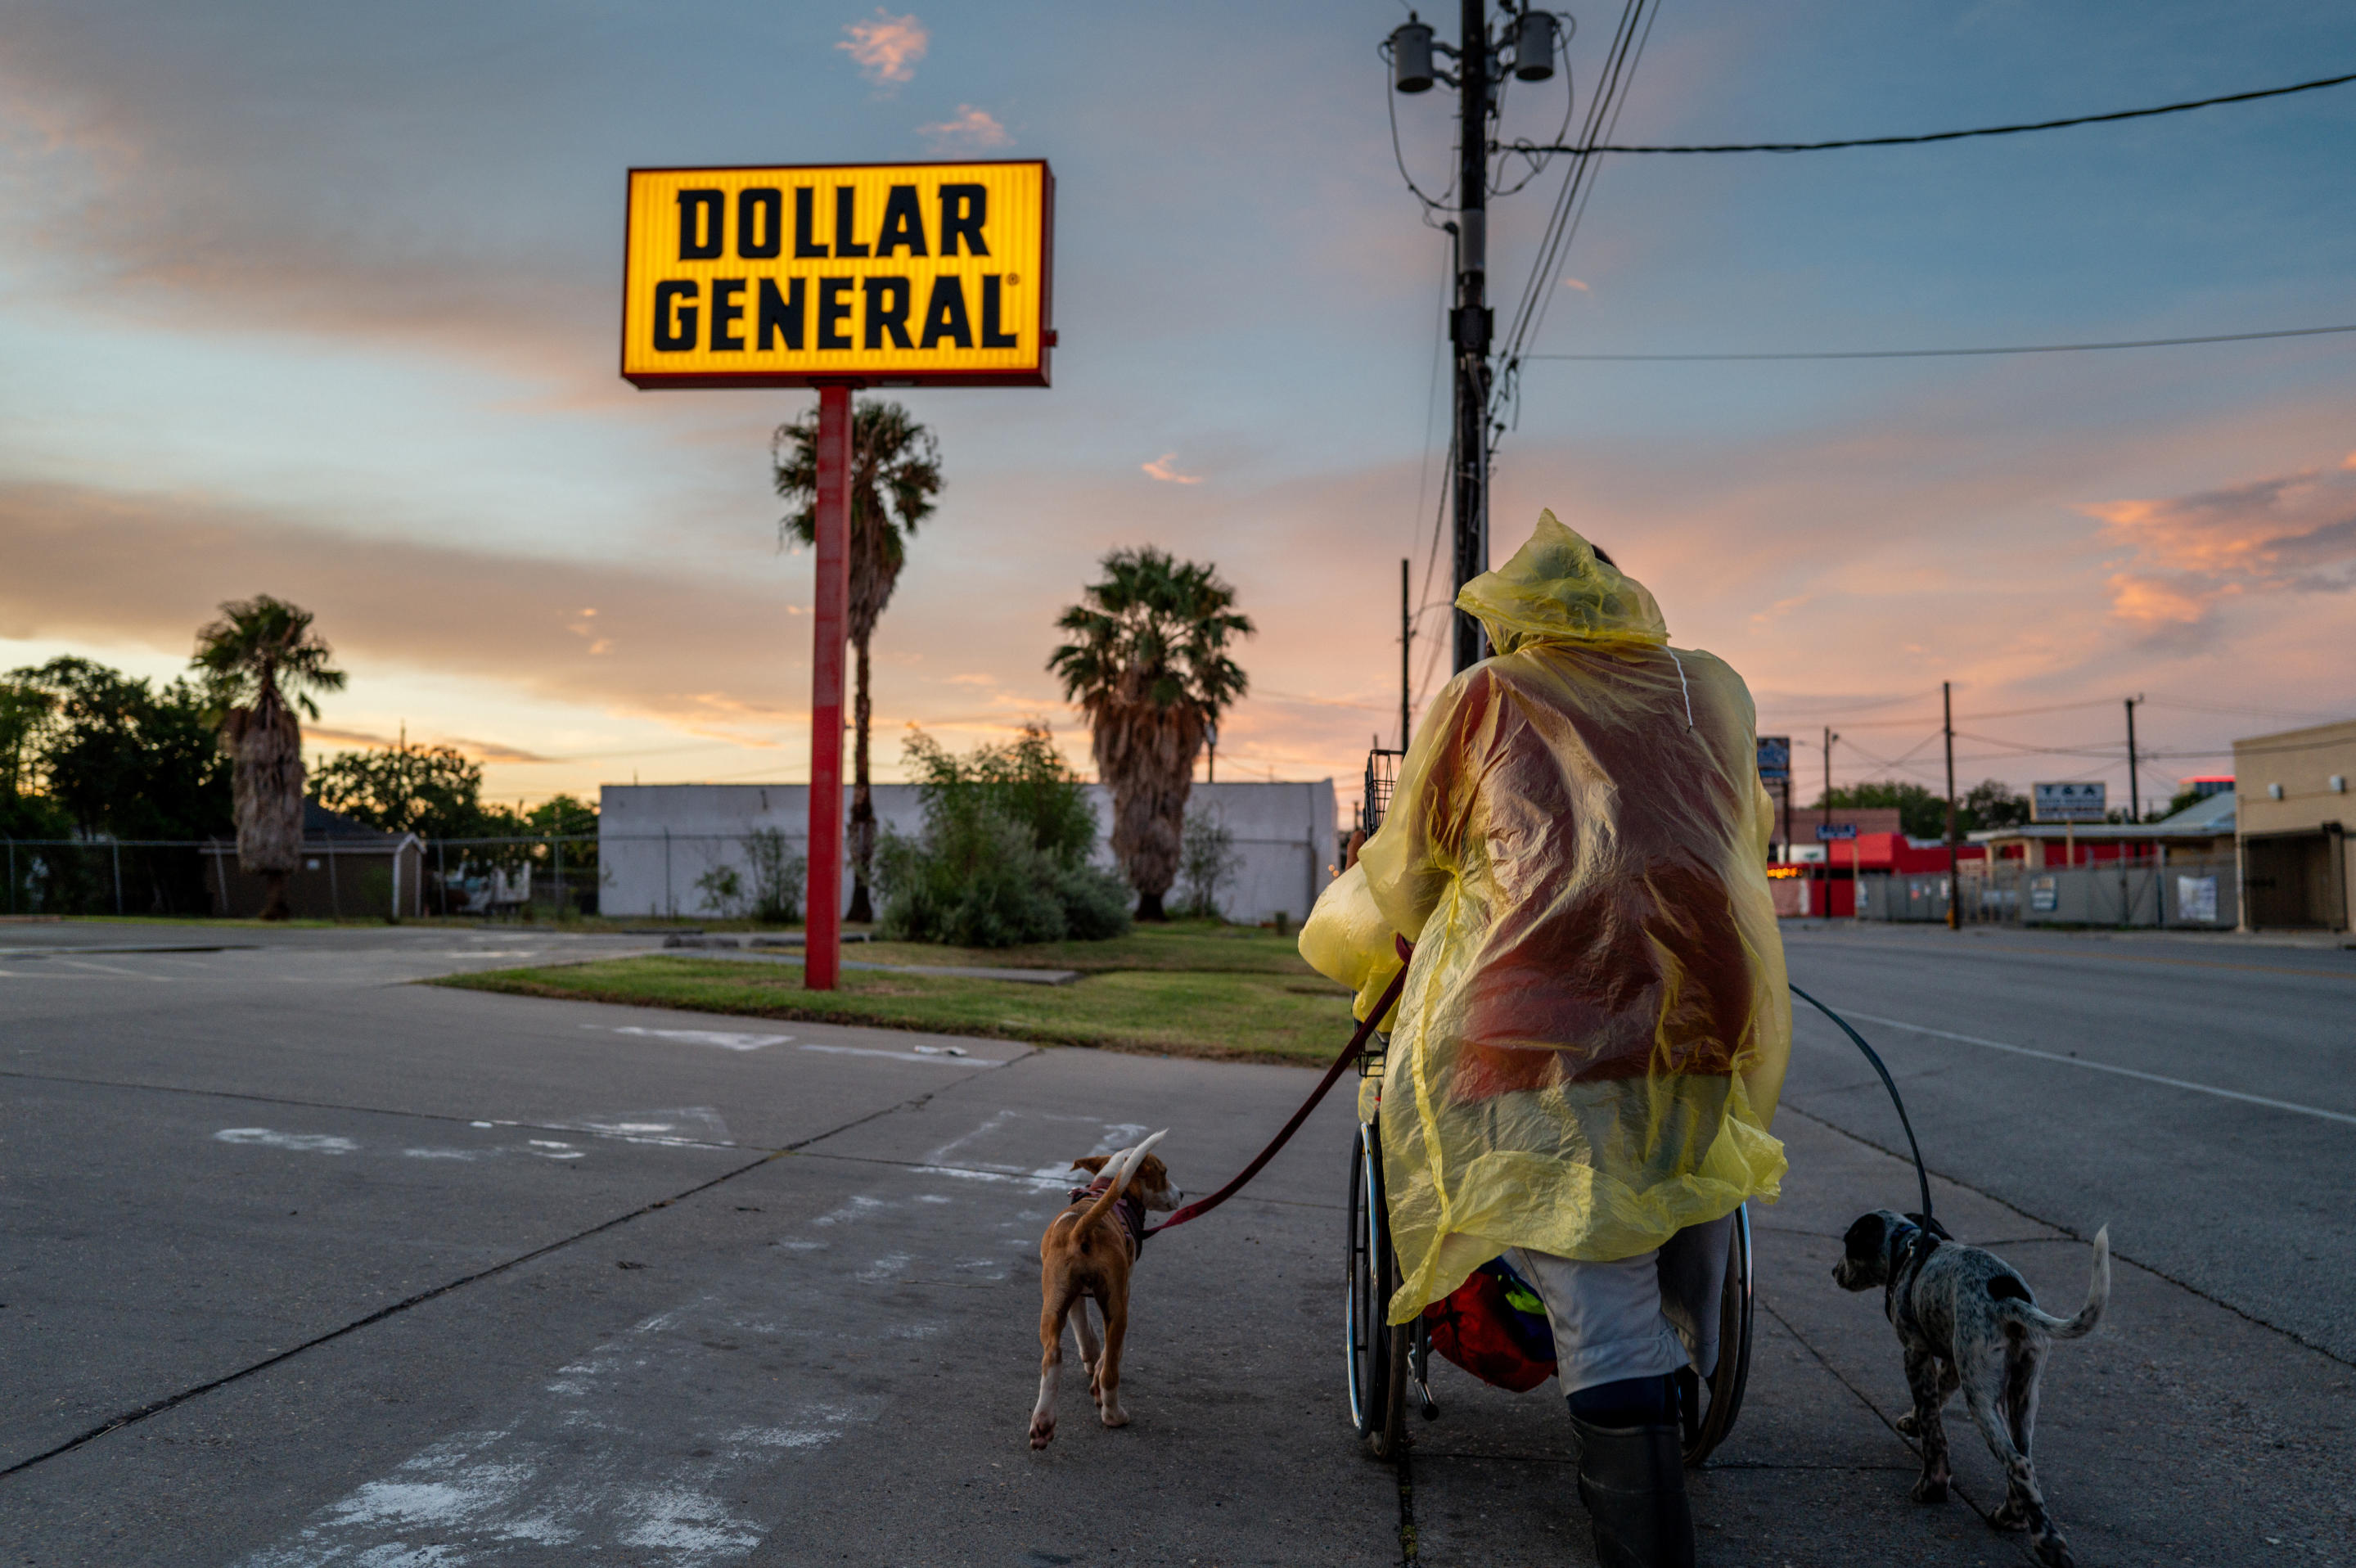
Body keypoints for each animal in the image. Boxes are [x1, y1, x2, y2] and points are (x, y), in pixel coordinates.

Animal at [1032, 1129, 1178, 1450]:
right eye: (1163, 1173)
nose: (1182, 1195)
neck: (1110, 1189)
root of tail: (1082, 1228)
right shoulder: (1124, 1292)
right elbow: (1112, 1352)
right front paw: (1097, 1374)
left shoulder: (1074, 1300)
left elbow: (1085, 1333)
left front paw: (1090, 1359)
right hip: (1116, 1307)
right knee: (1111, 1372)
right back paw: (1113, 1413)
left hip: (1053, 1301)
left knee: (1052, 1356)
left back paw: (1043, 1424)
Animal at [1828, 1205, 2110, 1563]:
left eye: (1849, 1245)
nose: (1833, 1272)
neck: (1907, 1248)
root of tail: (2009, 1301)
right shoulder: (1951, 1362)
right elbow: (1934, 1401)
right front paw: (1912, 1422)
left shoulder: (1915, 1353)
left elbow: (1933, 1425)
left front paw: (1932, 1485)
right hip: (2023, 1393)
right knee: (2025, 1459)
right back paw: (2012, 1517)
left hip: (1980, 1394)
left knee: (2017, 1462)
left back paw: (2049, 1544)